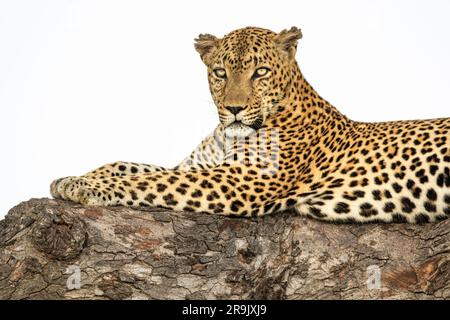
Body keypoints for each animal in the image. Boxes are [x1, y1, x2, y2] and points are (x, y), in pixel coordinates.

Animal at [50, 26, 450, 224]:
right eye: (219, 73)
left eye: (260, 72)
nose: (235, 108)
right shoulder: (201, 165)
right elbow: (127, 165)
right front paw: (73, 177)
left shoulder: (240, 180)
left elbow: (150, 181)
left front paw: (83, 186)